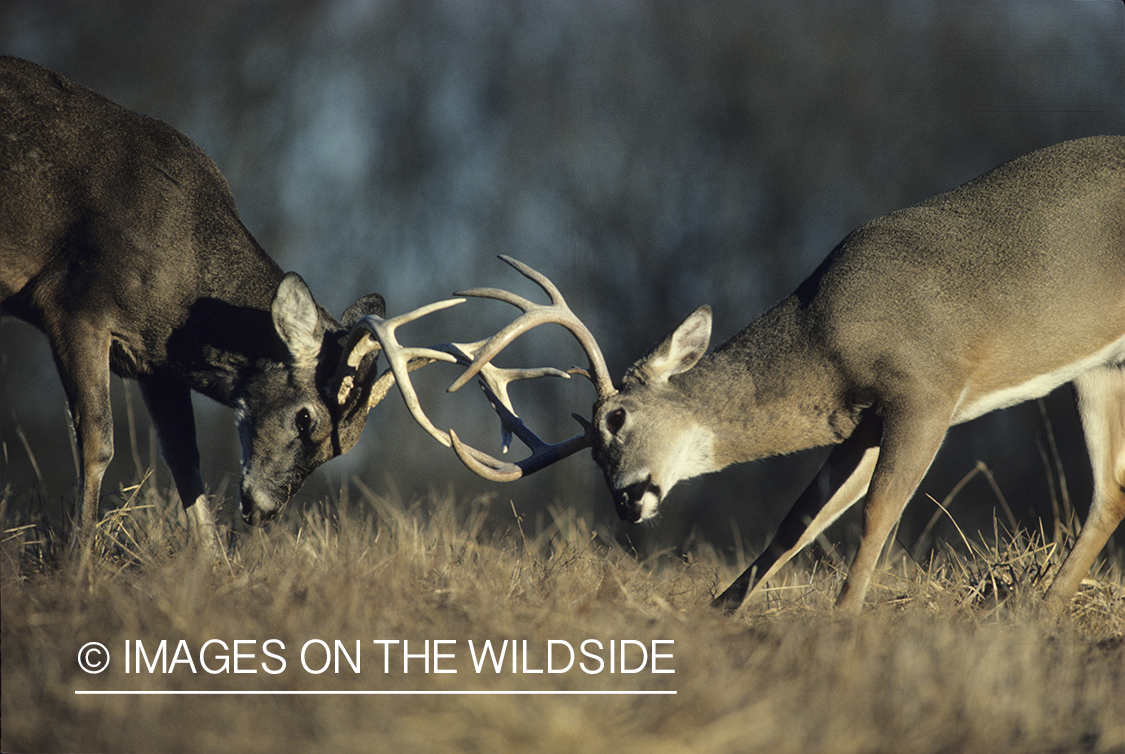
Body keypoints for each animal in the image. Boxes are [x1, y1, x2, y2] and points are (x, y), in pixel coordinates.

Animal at [0, 57, 389, 555]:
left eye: (342, 447)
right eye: (305, 418)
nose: (262, 513)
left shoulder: (151, 357)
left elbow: (185, 457)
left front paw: (214, 562)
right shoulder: (74, 304)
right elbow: (98, 441)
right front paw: (79, 557)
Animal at [378, 137, 1125, 621]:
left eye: (616, 419)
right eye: (590, 449)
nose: (627, 501)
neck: (824, 336)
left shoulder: (926, 387)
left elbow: (877, 512)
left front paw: (843, 622)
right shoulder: (863, 421)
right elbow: (799, 519)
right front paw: (720, 610)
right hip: (1099, 366)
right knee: (1109, 494)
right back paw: (1038, 612)